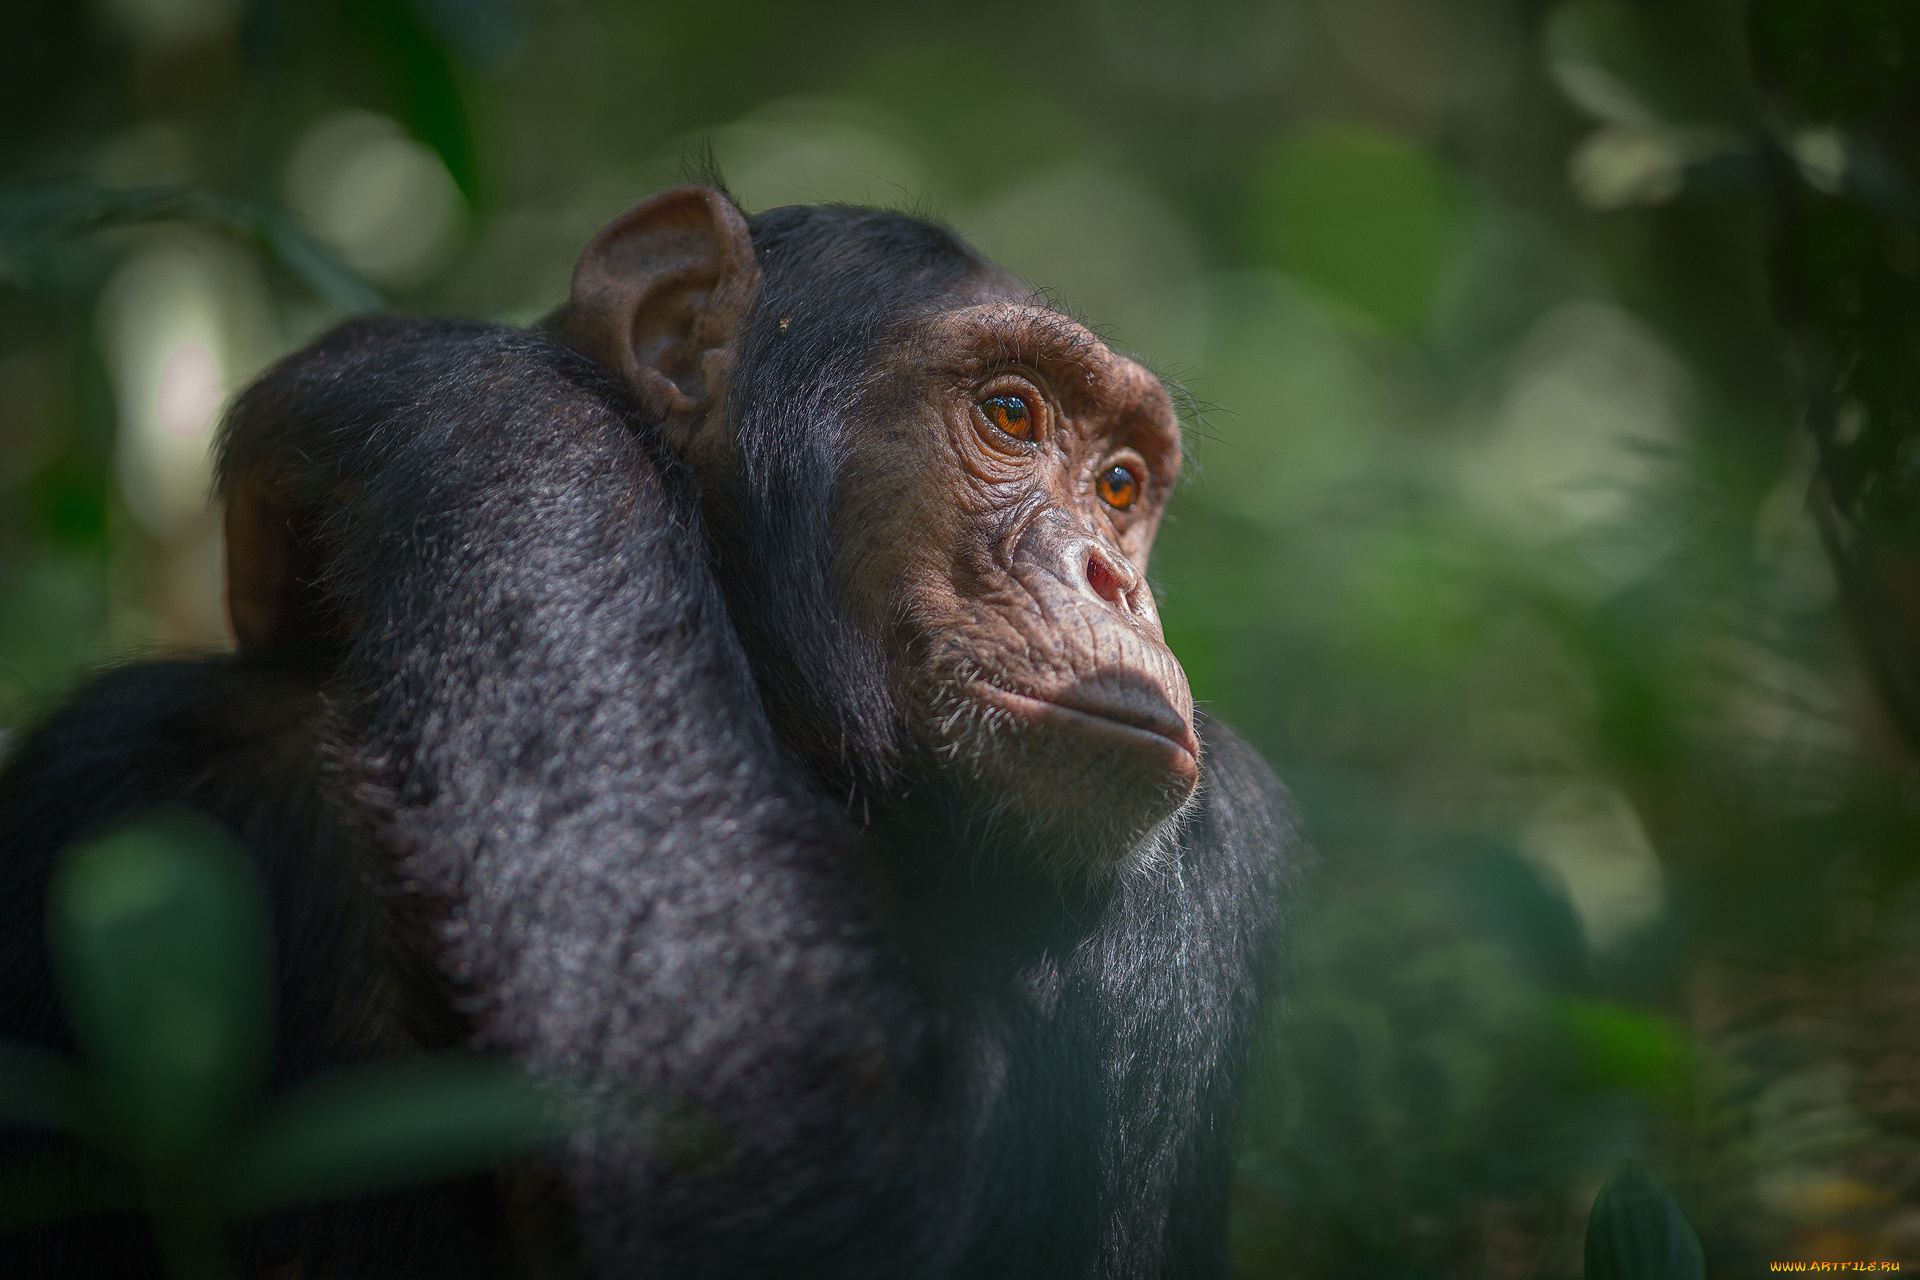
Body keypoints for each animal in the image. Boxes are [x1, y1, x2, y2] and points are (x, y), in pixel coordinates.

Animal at [0, 189, 1305, 1280]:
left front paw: (426, 380)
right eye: (1010, 412)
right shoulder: (123, 772)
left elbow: (810, 1138)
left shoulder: (1215, 844)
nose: (1111, 579)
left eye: (1121, 485)